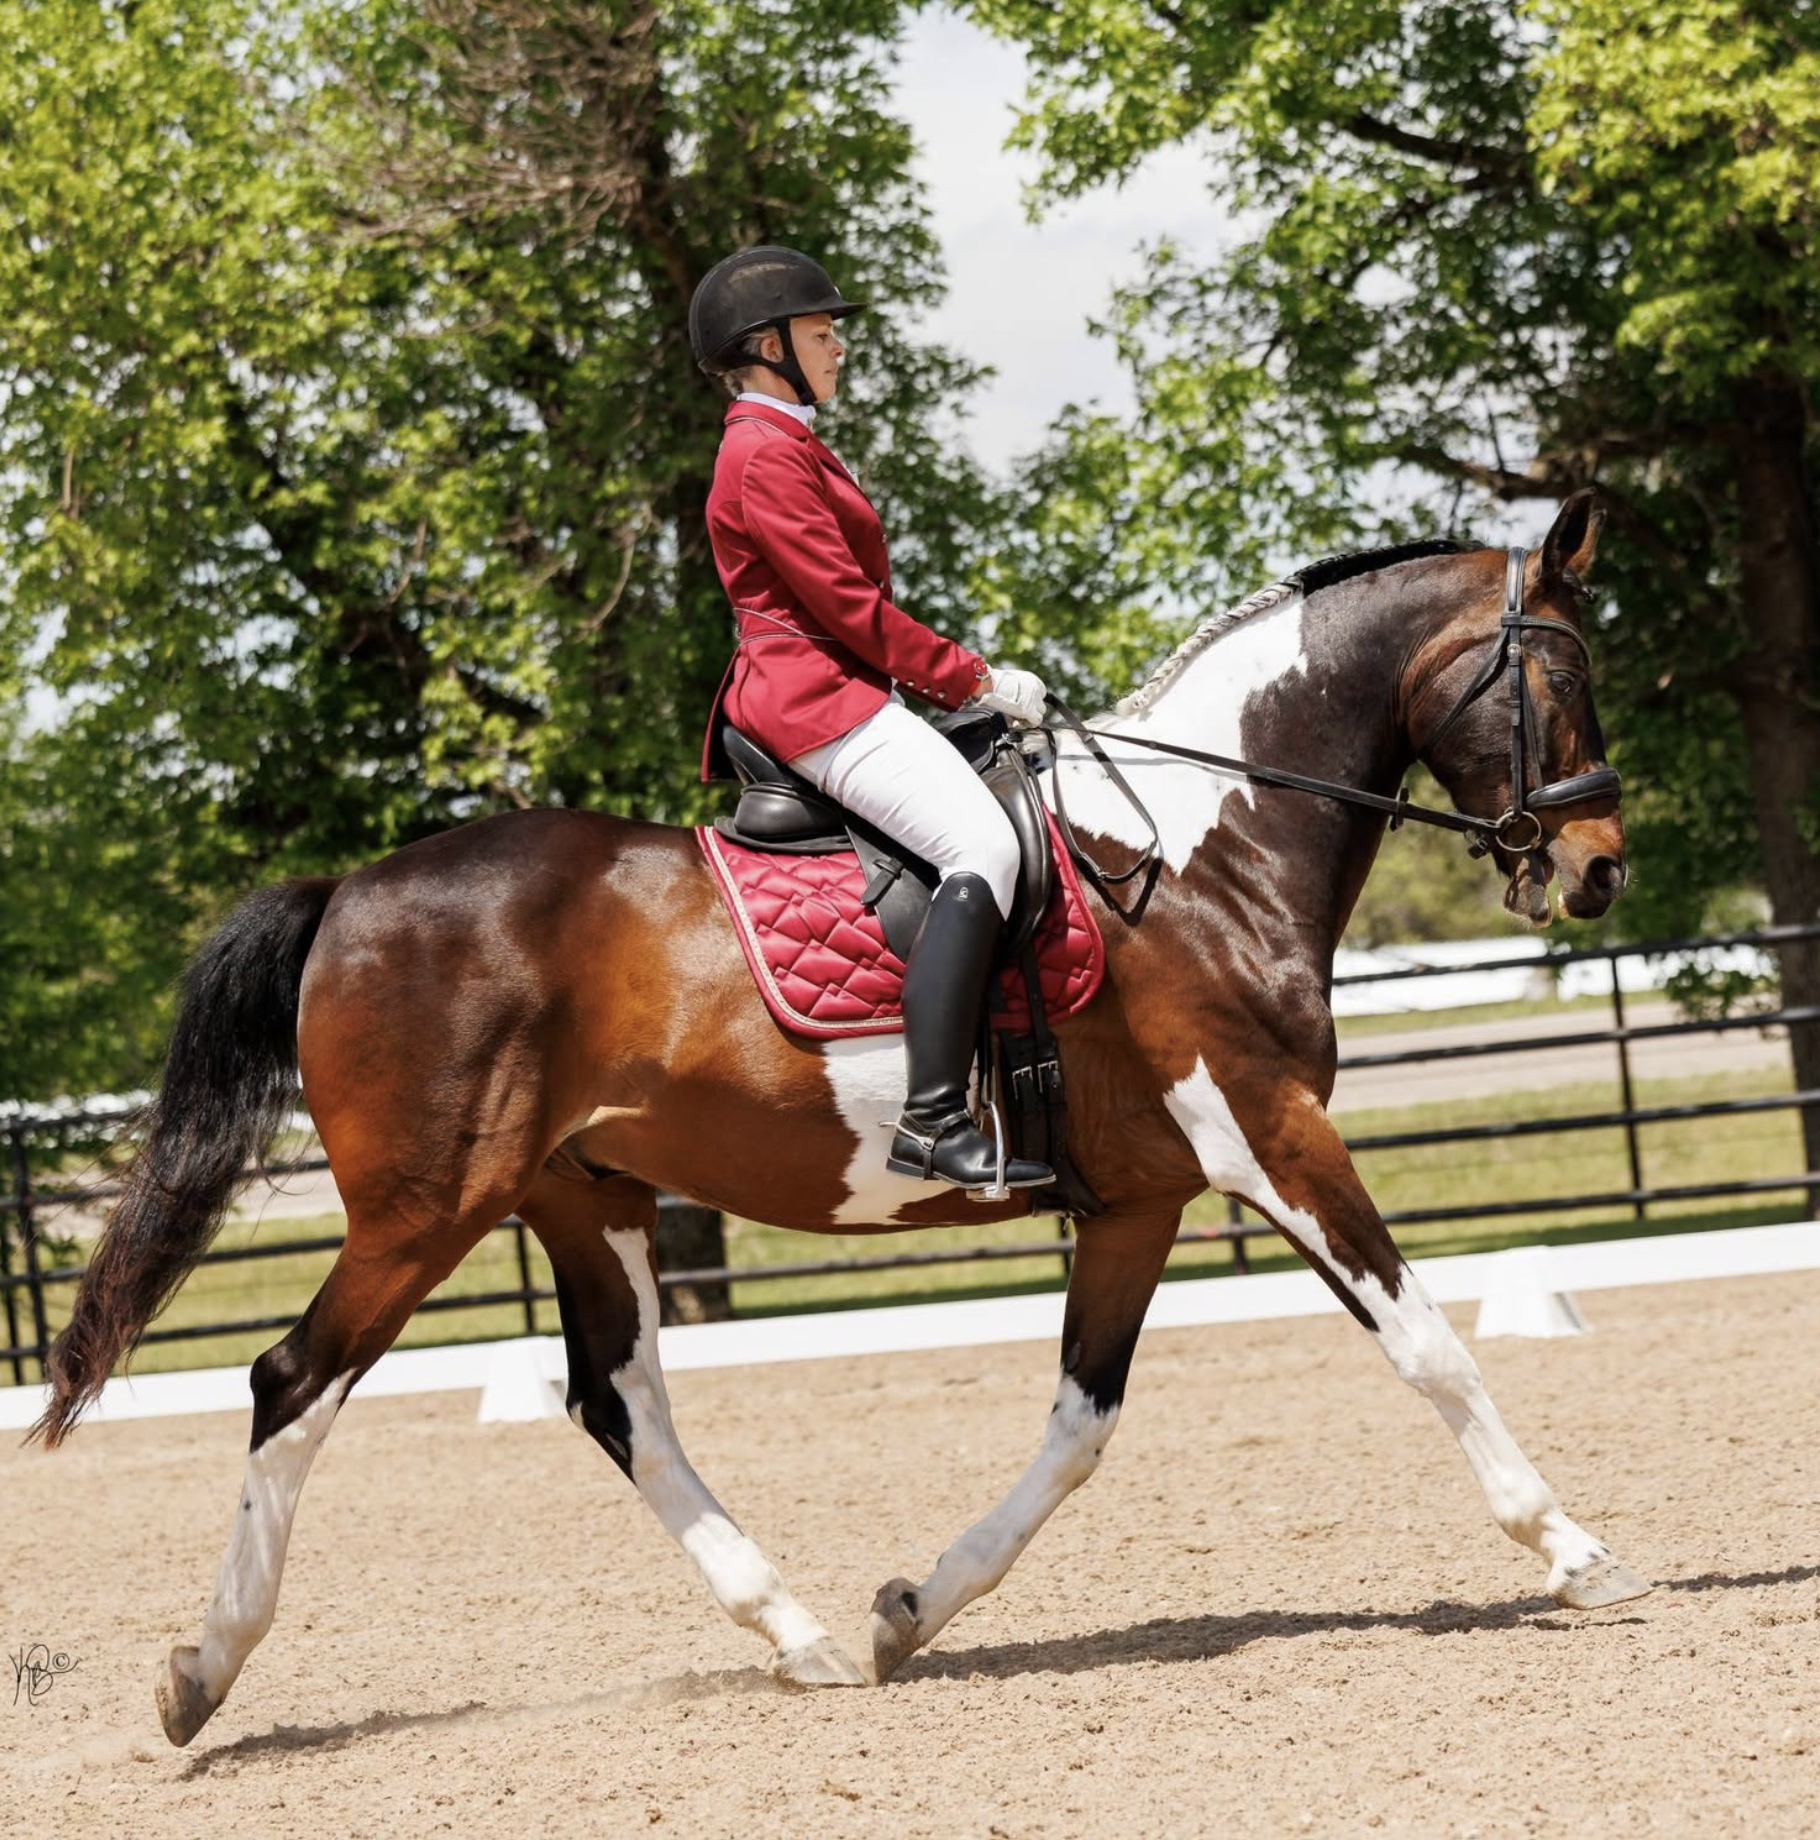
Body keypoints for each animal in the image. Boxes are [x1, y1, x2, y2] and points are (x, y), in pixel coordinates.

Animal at [32, 488, 1642, 1746]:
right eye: (1561, 671)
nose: (1599, 868)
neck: (1196, 853)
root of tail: (347, 894)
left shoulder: (1139, 1199)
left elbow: (1081, 1423)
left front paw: (912, 1609)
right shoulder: (1267, 1132)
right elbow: (1429, 1344)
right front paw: (1575, 1551)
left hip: (584, 1195)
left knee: (619, 1405)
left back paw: (797, 1634)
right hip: (429, 1208)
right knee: (291, 1381)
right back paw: (202, 1673)